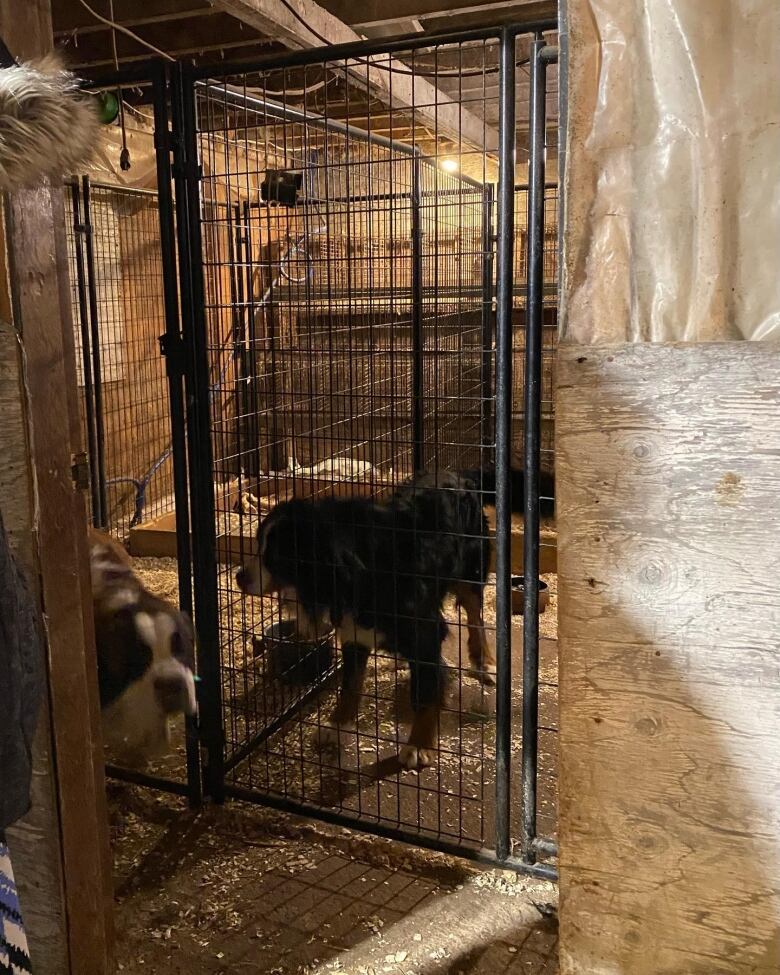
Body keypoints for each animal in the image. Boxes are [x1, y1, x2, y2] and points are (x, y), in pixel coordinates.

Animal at [235, 472, 490, 772]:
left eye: (277, 554)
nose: (239, 577)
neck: (359, 570)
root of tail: (457, 475)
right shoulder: (354, 631)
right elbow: (350, 685)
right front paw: (337, 725)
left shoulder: (425, 631)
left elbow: (426, 692)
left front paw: (418, 745)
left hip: (472, 572)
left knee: (476, 617)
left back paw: (484, 660)